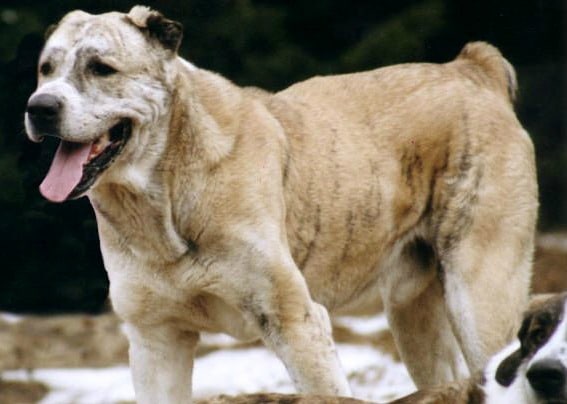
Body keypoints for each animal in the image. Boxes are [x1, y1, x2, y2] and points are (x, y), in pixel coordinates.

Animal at [26, 6, 540, 404]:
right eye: (45, 69)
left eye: (101, 68)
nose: (39, 107)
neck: (163, 200)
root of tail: (470, 69)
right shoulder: (156, 338)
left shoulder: (294, 320)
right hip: (412, 312)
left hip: (479, 297)